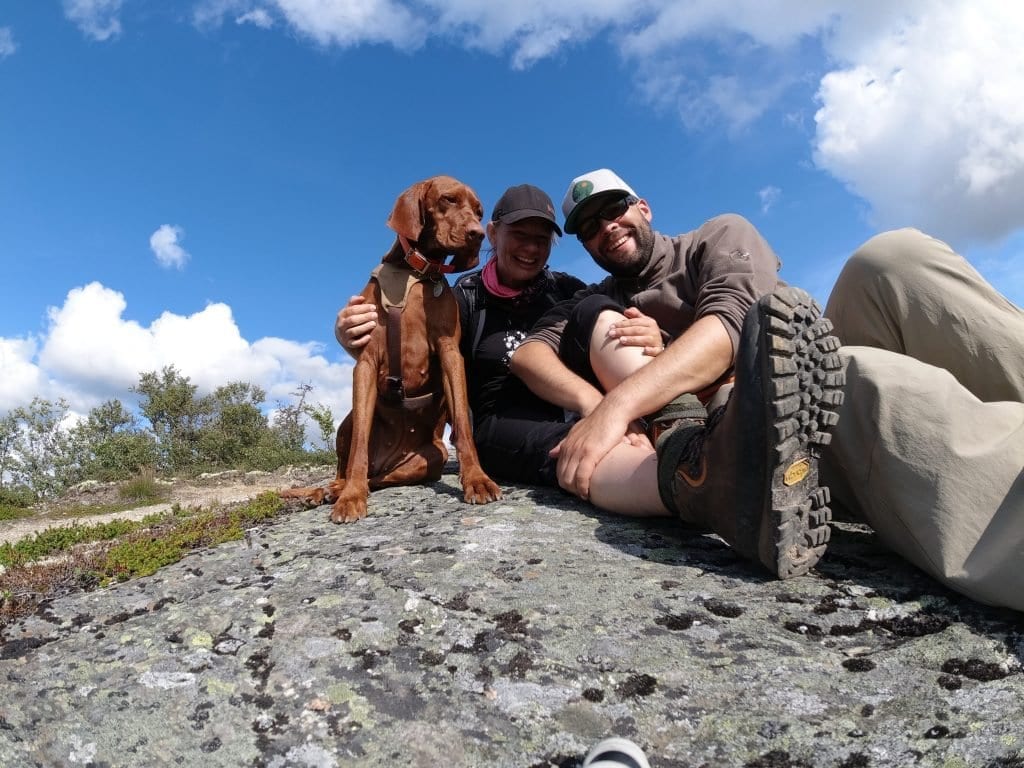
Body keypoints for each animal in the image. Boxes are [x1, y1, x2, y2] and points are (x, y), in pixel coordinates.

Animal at [284, 174, 499, 524]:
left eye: (479, 211)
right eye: (449, 199)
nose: (477, 234)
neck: (415, 272)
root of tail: (388, 459)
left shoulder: (450, 353)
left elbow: (464, 427)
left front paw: (477, 480)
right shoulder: (366, 363)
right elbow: (359, 444)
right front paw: (351, 498)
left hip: (432, 456)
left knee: (380, 478)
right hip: (347, 423)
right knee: (350, 468)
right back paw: (329, 490)